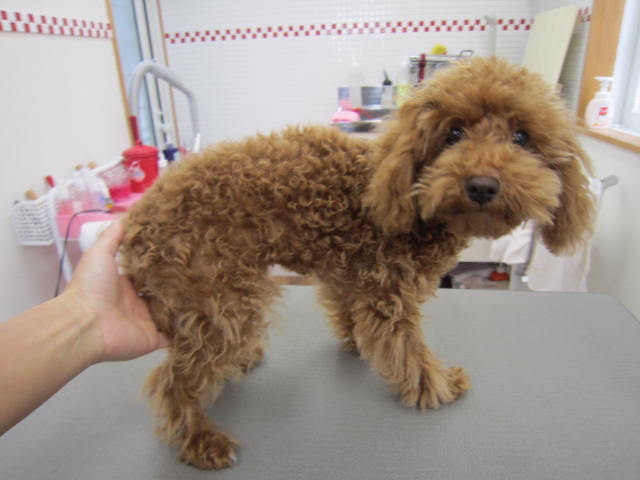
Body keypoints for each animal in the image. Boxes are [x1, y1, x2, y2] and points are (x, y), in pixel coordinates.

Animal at [120, 57, 595, 469]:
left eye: (521, 138)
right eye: (454, 133)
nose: (481, 185)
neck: (408, 199)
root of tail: (135, 225)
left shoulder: (351, 278)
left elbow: (350, 316)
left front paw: (355, 346)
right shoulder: (389, 295)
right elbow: (409, 351)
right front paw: (440, 386)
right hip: (218, 299)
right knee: (171, 382)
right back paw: (199, 440)